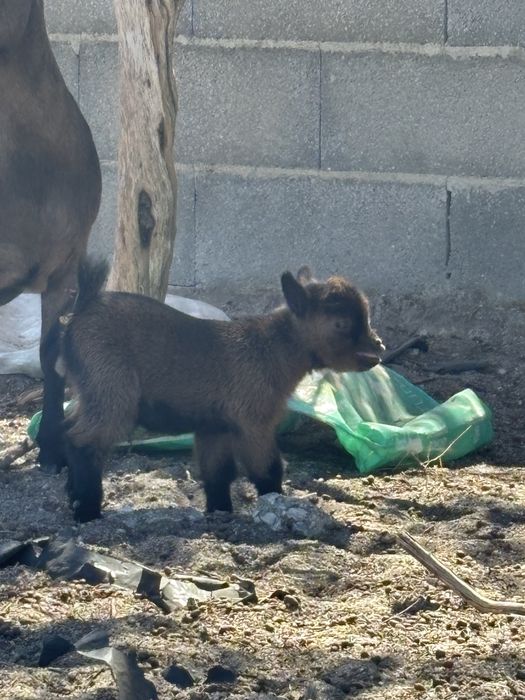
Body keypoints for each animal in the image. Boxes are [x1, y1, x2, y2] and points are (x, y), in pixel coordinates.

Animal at [58, 260, 384, 522]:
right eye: (341, 323)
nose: (378, 346)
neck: (271, 348)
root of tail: (83, 309)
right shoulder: (254, 420)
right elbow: (267, 468)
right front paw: (276, 503)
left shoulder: (215, 427)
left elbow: (217, 473)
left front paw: (220, 512)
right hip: (112, 387)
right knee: (83, 440)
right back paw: (87, 511)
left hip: (89, 389)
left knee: (69, 428)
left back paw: (72, 495)